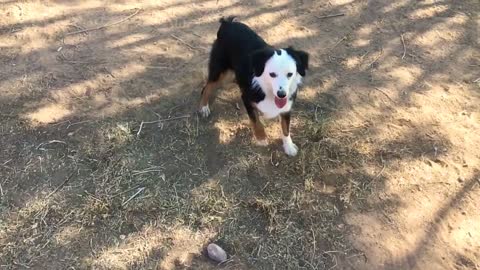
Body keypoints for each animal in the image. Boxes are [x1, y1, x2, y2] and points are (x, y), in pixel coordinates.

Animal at [200, 16, 310, 156]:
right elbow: (256, 120)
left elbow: (286, 128)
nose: (281, 94)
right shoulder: (247, 99)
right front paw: (261, 138)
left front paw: (289, 147)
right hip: (220, 71)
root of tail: (227, 23)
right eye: (272, 74)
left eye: (290, 74)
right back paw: (204, 107)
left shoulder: (286, 107)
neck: (266, 90)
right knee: (206, 87)